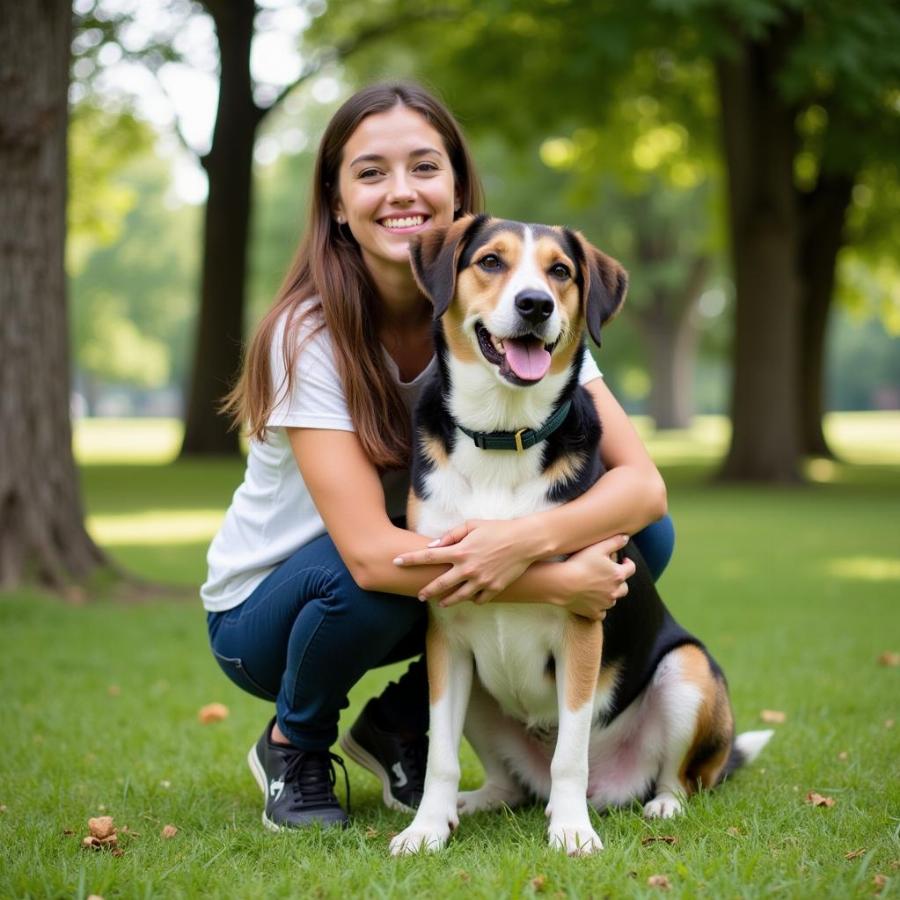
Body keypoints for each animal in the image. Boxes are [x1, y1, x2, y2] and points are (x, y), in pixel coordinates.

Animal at [388, 214, 772, 856]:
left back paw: (659, 804)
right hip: (480, 698)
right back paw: (475, 801)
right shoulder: (444, 634)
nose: (535, 304)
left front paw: (570, 831)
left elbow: (571, 752)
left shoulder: (581, 628)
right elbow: (440, 755)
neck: (502, 434)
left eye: (560, 271)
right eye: (490, 261)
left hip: (687, 671)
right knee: (511, 783)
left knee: (678, 776)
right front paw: (426, 827)